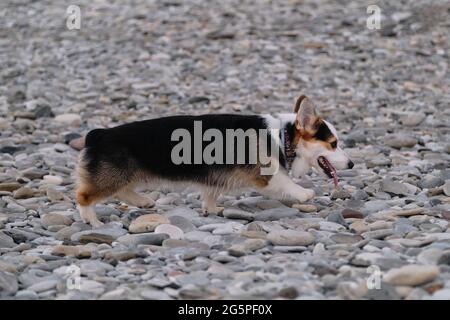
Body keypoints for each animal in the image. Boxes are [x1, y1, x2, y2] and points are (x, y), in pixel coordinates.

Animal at [75, 95, 354, 228]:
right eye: (333, 143)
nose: (352, 165)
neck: (282, 136)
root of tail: (98, 134)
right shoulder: (265, 174)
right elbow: (285, 182)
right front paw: (305, 194)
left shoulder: (215, 178)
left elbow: (210, 194)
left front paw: (212, 209)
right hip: (112, 176)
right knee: (85, 196)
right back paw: (92, 220)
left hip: (127, 174)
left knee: (122, 191)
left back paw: (144, 201)